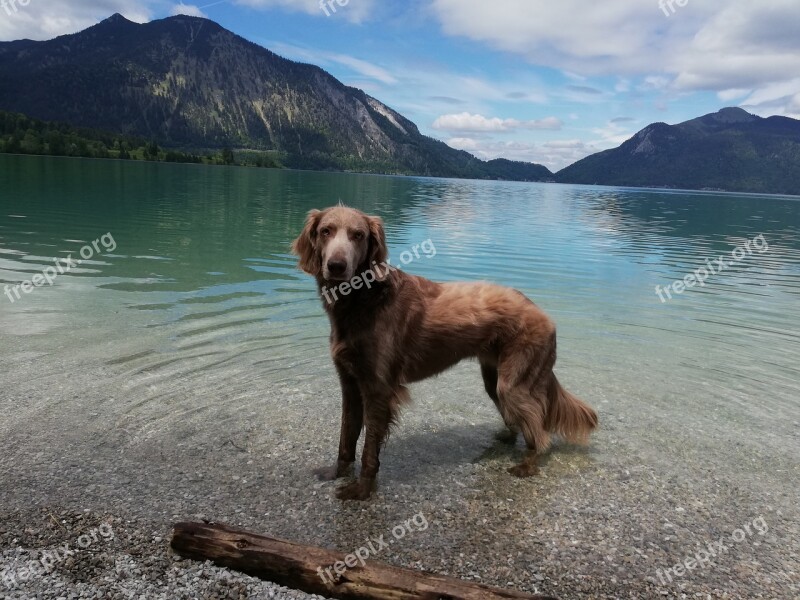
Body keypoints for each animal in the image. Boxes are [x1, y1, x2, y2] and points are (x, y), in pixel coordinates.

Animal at [290, 206, 596, 502]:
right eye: (326, 231)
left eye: (358, 235)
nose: (336, 266)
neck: (363, 300)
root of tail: (542, 313)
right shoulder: (350, 383)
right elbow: (347, 436)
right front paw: (337, 473)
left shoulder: (378, 389)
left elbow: (369, 449)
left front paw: (363, 490)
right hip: (494, 379)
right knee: (520, 422)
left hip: (514, 384)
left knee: (540, 433)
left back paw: (527, 465)